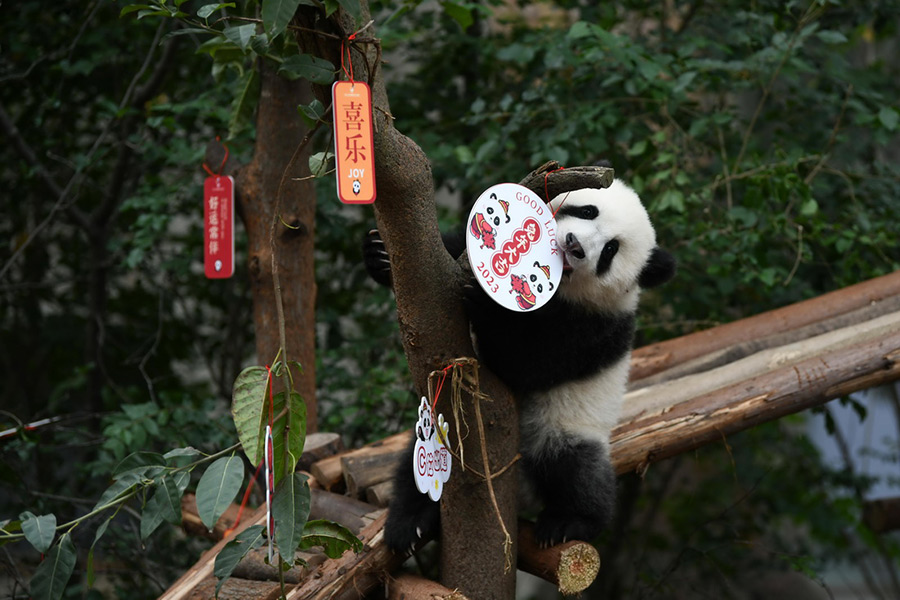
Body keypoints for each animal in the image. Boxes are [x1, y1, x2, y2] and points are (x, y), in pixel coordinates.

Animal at [363, 178, 676, 551]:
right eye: (588, 210)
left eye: (610, 250)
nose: (575, 246)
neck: (561, 289)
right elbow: (450, 254)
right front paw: (379, 255)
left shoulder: (594, 328)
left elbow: (524, 364)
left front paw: (487, 304)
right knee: (415, 467)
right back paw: (410, 525)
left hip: (564, 428)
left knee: (576, 468)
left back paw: (568, 523)